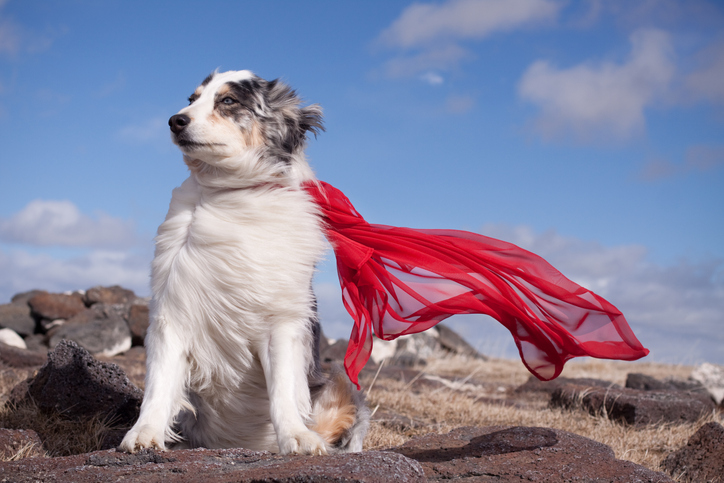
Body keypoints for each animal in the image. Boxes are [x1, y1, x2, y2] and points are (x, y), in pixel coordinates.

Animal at [120, 70, 368, 456]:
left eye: (228, 101)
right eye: (192, 99)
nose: (175, 121)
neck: (230, 193)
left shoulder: (281, 320)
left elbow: (283, 391)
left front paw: (296, 436)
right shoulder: (172, 311)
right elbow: (158, 386)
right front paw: (144, 434)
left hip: (341, 383)